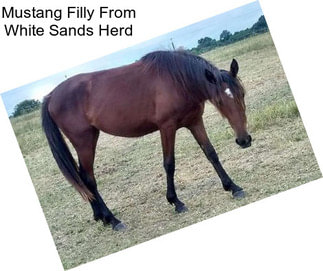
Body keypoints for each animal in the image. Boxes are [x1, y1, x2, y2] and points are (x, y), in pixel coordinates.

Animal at [41, 50, 253, 232]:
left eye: (242, 94)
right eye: (219, 101)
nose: (244, 140)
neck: (178, 81)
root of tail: (51, 95)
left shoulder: (194, 121)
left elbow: (211, 153)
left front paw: (233, 187)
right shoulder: (167, 128)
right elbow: (169, 164)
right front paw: (176, 202)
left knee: (83, 178)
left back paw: (100, 216)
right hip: (84, 141)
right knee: (88, 180)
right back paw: (113, 220)